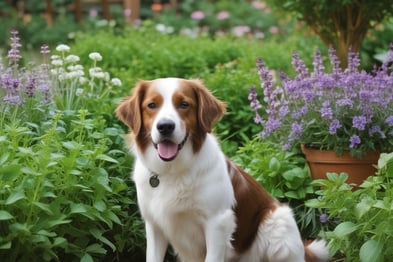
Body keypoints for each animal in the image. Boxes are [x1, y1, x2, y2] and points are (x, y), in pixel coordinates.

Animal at [115, 78, 328, 262]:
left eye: (184, 104)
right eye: (152, 105)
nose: (165, 126)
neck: (172, 171)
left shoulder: (217, 222)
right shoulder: (154, 225)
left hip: (277, 225)